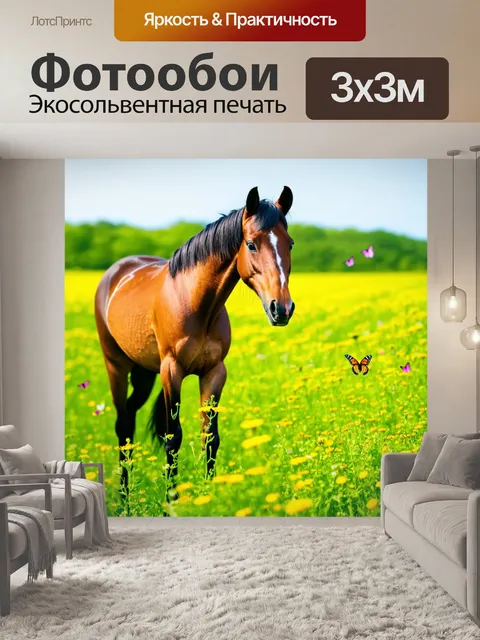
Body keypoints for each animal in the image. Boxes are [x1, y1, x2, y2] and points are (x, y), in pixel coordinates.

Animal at [94, 186, 295, 492]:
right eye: (251, 244)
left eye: (290, 244)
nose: (281, 309)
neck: (197, 305)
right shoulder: (172, 371)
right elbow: (172, 438)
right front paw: (172, 498)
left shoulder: (214, 373)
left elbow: (210, 437)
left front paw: (210, 493)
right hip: (116, 366)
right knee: (123, 424)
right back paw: (124, 495)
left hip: (143, 374)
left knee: (129, 419)